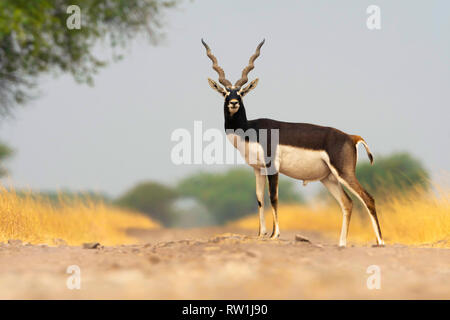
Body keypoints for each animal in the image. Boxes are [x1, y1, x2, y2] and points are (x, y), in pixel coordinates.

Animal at [202, 38, 384, 248]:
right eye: (224, 92)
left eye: (241, 92)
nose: (233, 102)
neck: (251, 129)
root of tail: (351, 137)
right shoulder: (258, 169)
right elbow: (259, 198)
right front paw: (261, 234)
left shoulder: (272, 166)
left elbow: (273, 197)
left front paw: (274, 235)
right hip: (329, 178)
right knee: (348, 203)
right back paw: (341, 243)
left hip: (344, 173)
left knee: (368, 199)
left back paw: (381, 242)